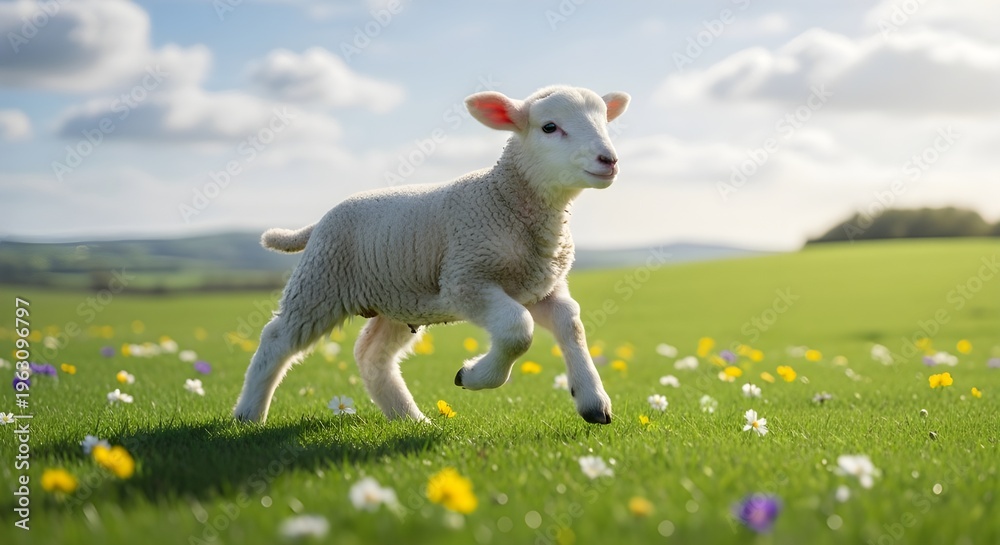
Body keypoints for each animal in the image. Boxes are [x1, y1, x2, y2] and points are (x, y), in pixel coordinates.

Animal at [233, 85, 630, 425]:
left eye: (604, 123)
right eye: (549, 127)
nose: (608, 160)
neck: (505, 198)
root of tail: (317, 224)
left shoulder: (540, 287)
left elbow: (571, 323)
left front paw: (593, 401)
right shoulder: (466, 279)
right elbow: (518, 330)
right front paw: (472, 376)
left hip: (397, 300)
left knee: (371, 356)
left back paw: (410, 418)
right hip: (321, 281)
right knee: (276, 339)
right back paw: (248, 415)